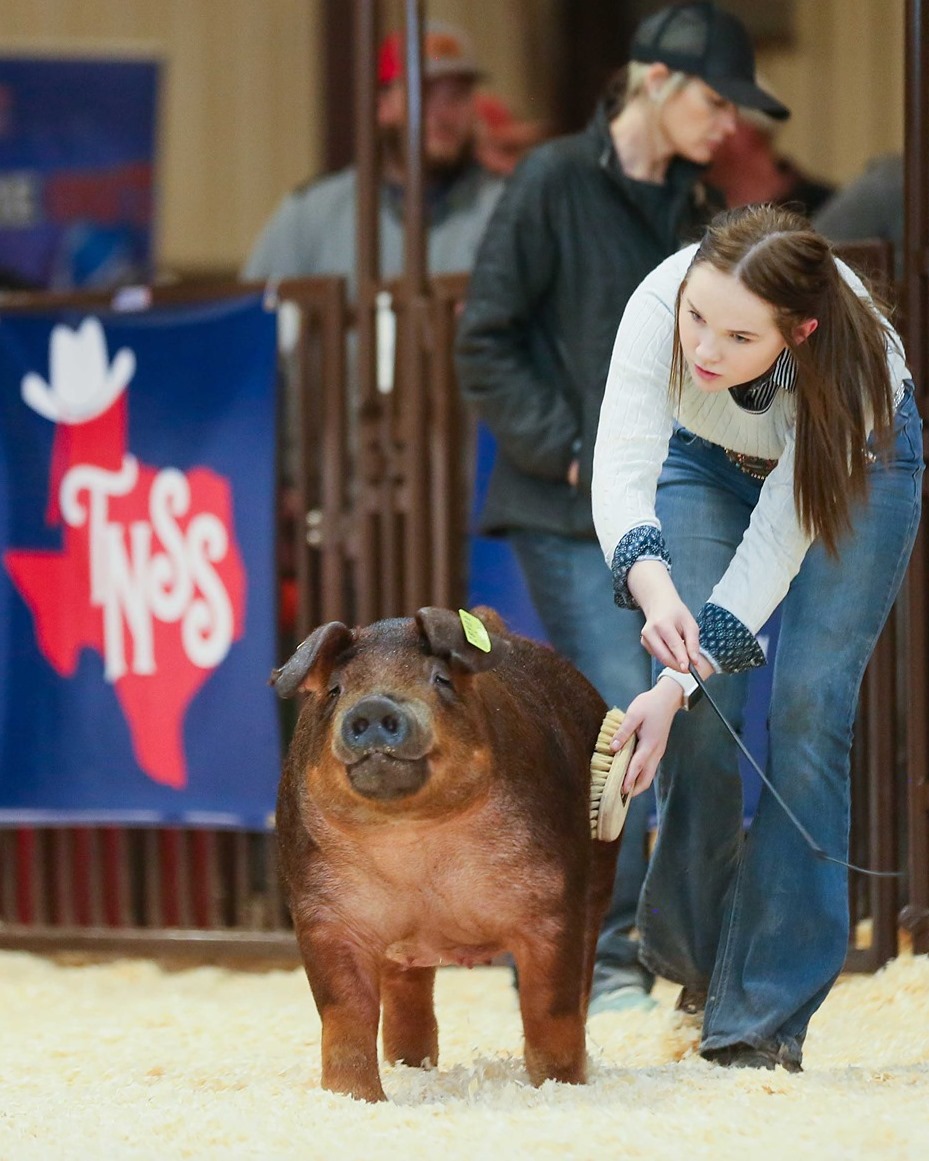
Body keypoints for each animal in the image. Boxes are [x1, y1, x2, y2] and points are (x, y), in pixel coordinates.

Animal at [268, 603, 617, 1100]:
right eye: (335, 689)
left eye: (441, 679)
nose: (374, 704)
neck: (414, 845)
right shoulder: (322, 914)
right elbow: (344, 1015)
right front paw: (354, 1098)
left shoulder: (552, 903)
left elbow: (551, 1010)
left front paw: (558, 1085)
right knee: (408, 988)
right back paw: (413, 1065)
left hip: (599, 883)